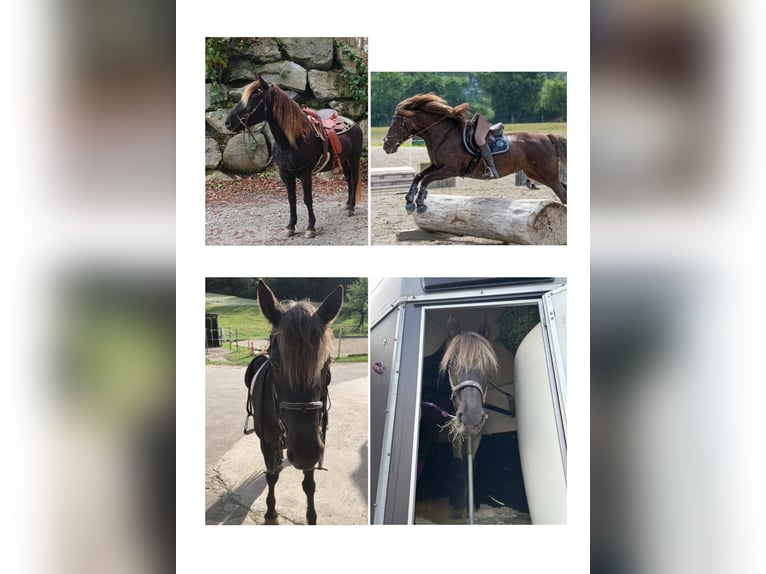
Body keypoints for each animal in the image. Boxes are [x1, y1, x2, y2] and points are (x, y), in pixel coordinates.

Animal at [225, 74, 364, 238]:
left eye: (255, 97)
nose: (228, 122)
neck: (293, 140)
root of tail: (354, 123)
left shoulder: (305, 174)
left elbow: (307, 199)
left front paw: (310, 227)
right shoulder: (285, 174)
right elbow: (291, 200)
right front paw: (290, 226)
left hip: (354, 158)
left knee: (353, 179)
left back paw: (351, 208)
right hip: (345, 160)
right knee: (348, 179)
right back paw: (348, 204)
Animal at [243, 279, 343, 524]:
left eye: (326, 363)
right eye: (275, 363)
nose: (305, 453)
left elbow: (309, 485)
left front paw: (311, 517)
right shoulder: (267, 443)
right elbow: (271, 476)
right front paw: (271, 513)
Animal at [382, 93, 567, 214]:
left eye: (397, 124)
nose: (386, 146)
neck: (444, 135)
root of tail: (547, 137)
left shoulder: (450, 169)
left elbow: (427, 179)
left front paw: (420, 204)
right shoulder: (437, 165)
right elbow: (418, 176)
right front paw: (409, 201)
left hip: (546, 173)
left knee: (562, 192)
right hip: (534, 172)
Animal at [418, 314, 499, 518]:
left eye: (487, 365)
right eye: (452, 363)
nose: (472, 416)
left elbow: (470, 464)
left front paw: (470, 504)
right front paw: (456, 506)